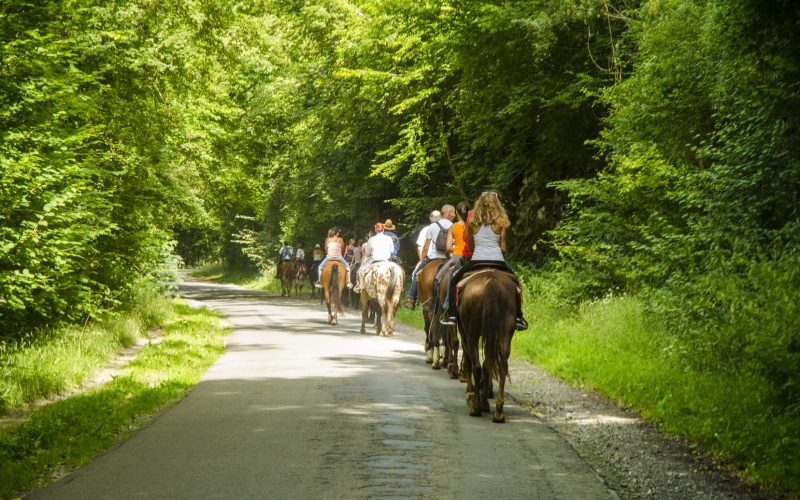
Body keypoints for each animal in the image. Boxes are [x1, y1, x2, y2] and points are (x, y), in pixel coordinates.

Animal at [456, 268, 520, 424]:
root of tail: (492, 280)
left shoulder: (464, 332)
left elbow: (471, 361)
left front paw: (473, 392)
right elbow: (488, 366)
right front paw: (484, 400)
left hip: (471, 333)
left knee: (476, 366)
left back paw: (475, 407)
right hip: (506, 332)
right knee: (502, 366)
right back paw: (498, 412)